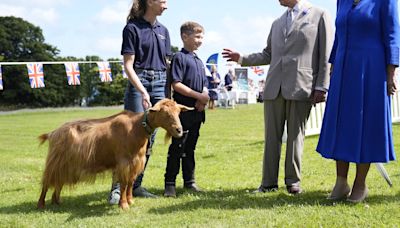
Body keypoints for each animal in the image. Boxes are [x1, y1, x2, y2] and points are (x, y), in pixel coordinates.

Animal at [37, 99, 192, 209]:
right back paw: (41, 204)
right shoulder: (124, 163)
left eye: (178, 112)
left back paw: (56, 201)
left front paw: (130, 201)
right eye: (165, 113)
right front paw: (123, 205)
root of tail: (53, 133)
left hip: (65, 164)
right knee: (47, 181)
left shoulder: (135, 163)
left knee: (58, 181)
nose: (179, 130)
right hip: (55, 162)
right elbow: (123, 184)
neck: (136, 128)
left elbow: (130, 182)